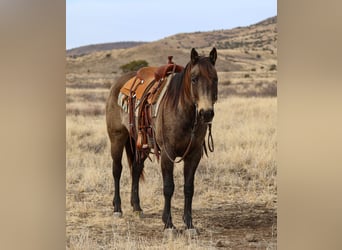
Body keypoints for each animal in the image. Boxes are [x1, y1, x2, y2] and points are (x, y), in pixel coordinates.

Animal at [107, 47, 218, 234]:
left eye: (215, 79)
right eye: (194, 79)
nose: (206, 113)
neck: (182, 111)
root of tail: (118, 84)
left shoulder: (194, 155)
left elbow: (189, 188)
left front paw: (189, 224)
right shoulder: (167, 154)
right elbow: (168, 187)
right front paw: (168, 224)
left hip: (140, 143)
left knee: (136, 169)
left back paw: (137, 208)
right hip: (117, 138)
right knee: (117, 170)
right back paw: (117, 209)